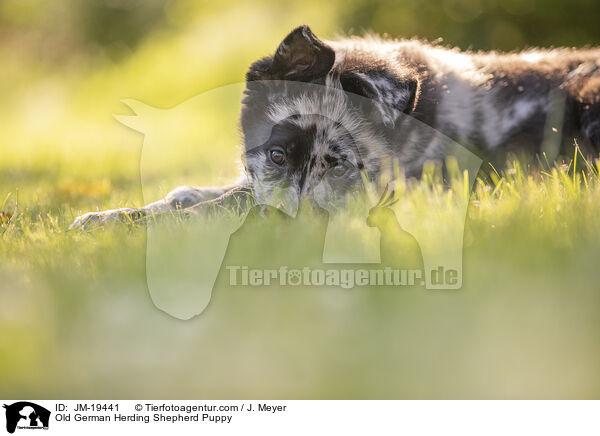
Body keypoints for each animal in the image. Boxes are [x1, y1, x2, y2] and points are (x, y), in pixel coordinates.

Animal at [69, 24, 596, 230]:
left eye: (341, 167)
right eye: (277, 155)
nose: (288, 231)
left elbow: (222, 204)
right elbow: (189, 192)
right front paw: (108, 217)